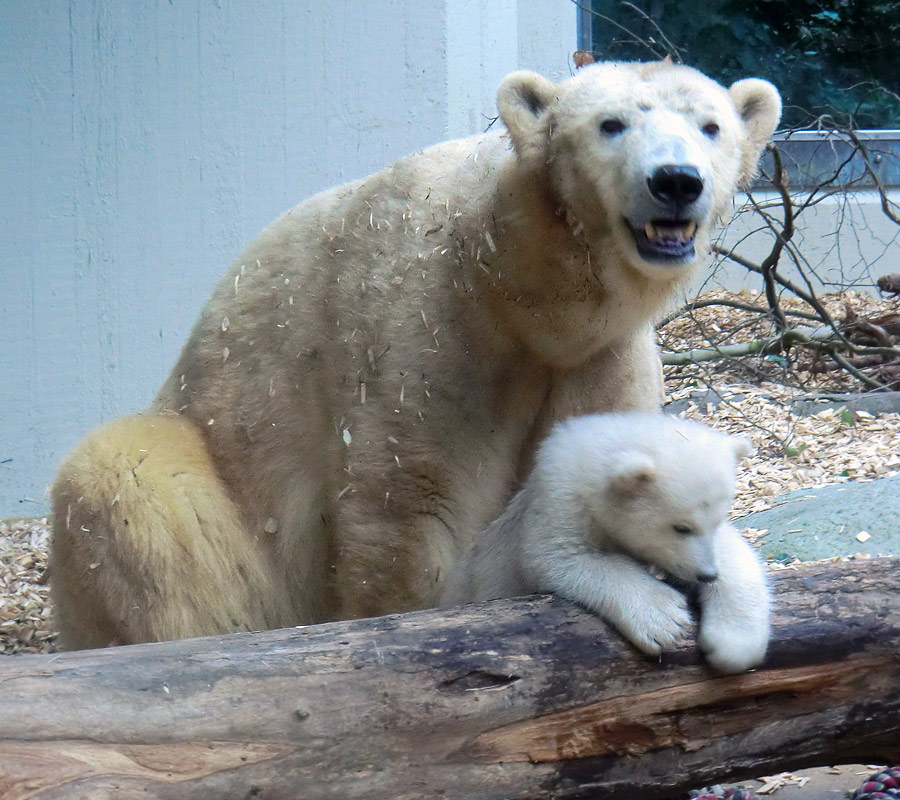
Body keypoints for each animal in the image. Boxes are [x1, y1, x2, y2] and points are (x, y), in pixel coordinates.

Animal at [49, 62, 780, 648]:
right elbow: (407, 506)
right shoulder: (428, 327)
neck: (516, 287)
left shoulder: (599, 355)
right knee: (131, 489)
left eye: (711, 126)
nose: (677, 181)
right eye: (611, 124)